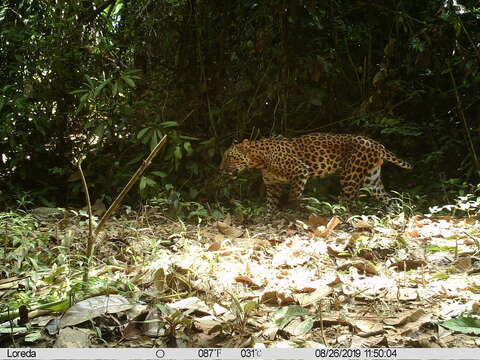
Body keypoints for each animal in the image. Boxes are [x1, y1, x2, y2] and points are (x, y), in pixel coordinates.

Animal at [219, 133, 410, 211]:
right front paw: (268, 217)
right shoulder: (273, 185)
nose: (220, 169)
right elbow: (270, 204)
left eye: (229, 157)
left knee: (350, 200)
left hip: (350, 176)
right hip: (372, 179)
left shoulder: (300, 170)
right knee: (387, 198)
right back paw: (394, 214)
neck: (259, 160)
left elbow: (294, 195)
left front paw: (296, 210)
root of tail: (376, 144)